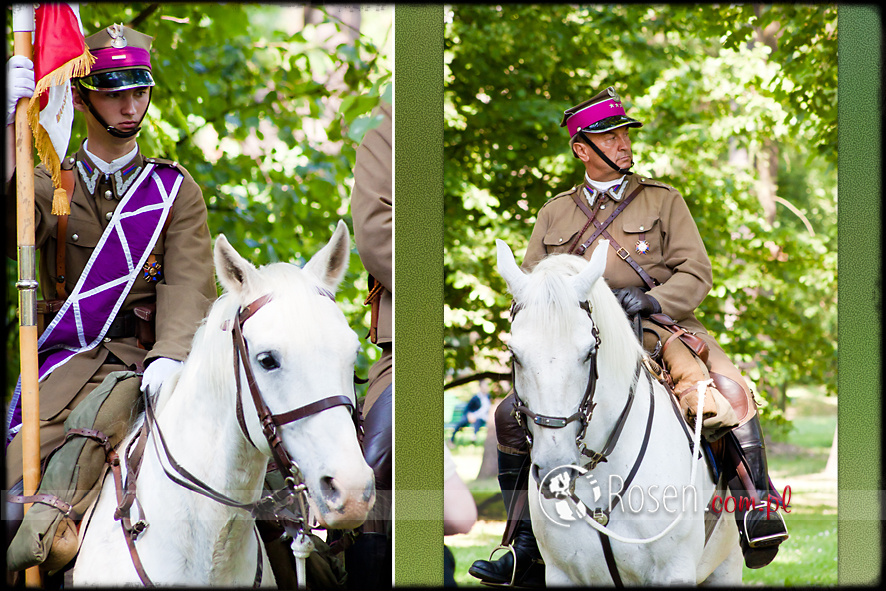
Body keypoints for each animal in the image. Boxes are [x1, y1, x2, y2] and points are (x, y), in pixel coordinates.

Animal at [500, 239, 744, 588]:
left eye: (589, 352)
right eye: (514, 354)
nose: (555, 469)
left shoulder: (675, 571)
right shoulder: (561, 574)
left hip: (726, 566)